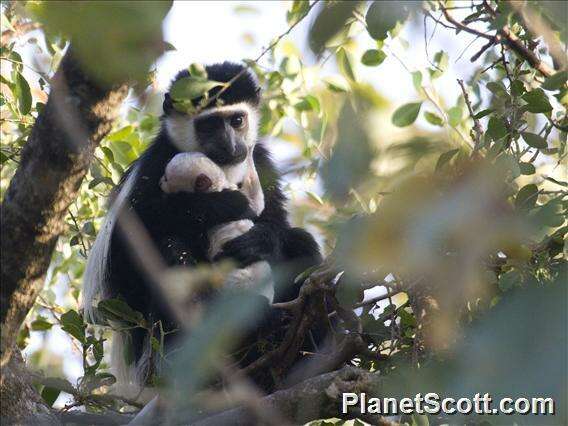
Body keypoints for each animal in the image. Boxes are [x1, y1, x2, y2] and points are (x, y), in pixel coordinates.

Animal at [83, 62, 324, 392]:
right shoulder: (155, 164)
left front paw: (260, 239)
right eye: (208, 125)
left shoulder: (259, 161)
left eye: (237, 120)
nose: (232, 146)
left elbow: (275, 220)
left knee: (300, 242)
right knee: (171, 251)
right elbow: (127, 245)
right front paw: (223, 204)